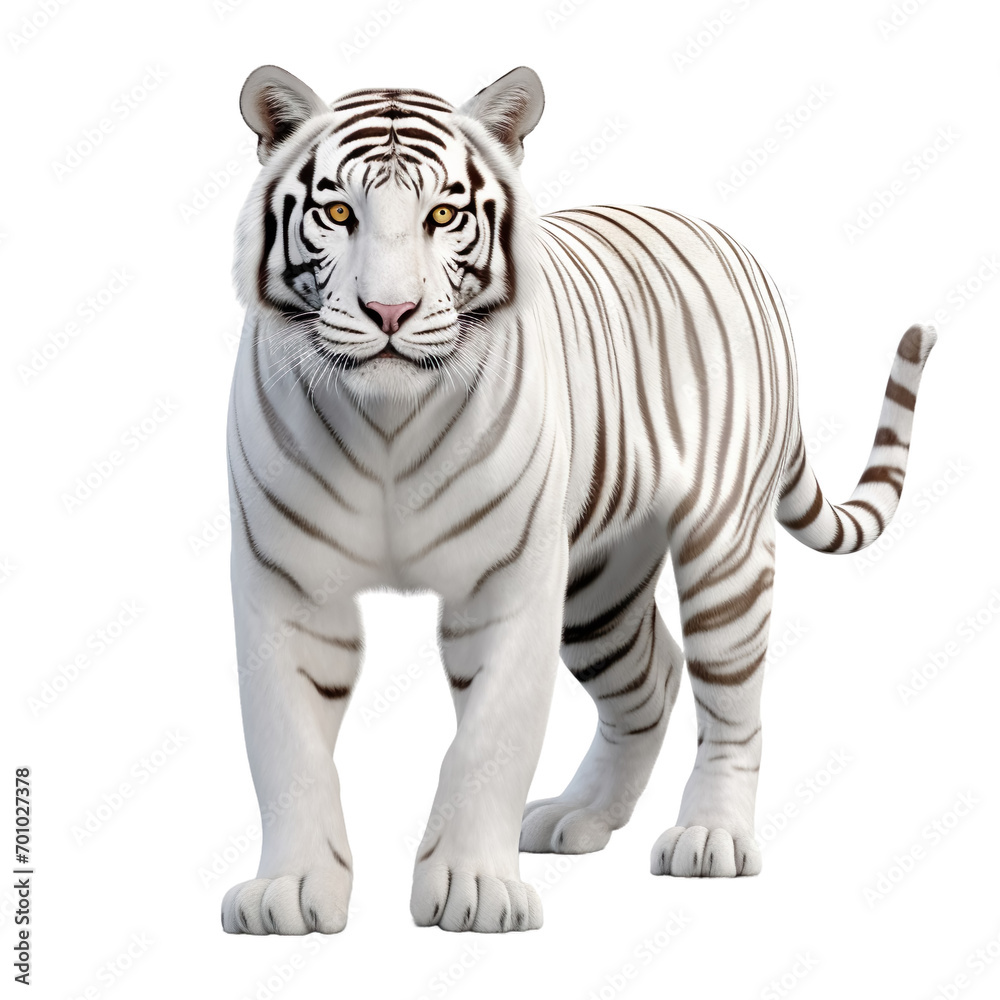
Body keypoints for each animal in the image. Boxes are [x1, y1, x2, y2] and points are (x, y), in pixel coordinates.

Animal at [220, 64, 936, 935]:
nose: (389, 313)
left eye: (443, 214)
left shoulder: (509, 584)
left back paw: (710, 837)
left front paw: (473, 888)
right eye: (337, 213)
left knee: (732, 703)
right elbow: (287, 749)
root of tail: (724, 239)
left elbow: (489, 741)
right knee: (652, 677)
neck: (386, 420)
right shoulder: (286, 584)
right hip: (600, 583)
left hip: (723, 551)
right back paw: (582, 815)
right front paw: (289, 891)